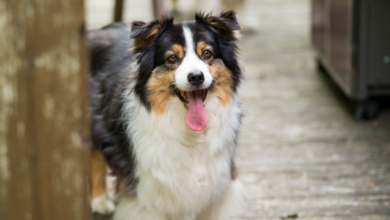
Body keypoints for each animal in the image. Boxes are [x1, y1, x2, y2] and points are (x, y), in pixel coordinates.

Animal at [87, 11, 244, 219]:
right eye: (172, 58)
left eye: (207, 53)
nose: (196, 77)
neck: (190, 131)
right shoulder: (149, 193)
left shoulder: (214, 184)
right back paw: (99, 202)